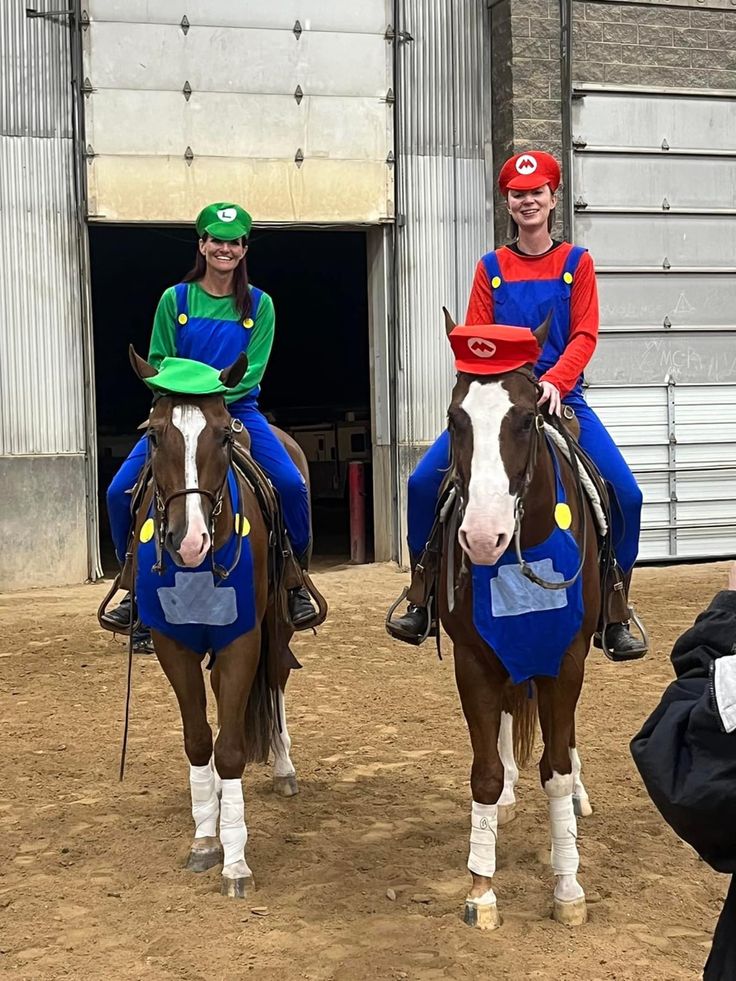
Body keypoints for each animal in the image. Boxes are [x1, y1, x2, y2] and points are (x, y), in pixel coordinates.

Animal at [436, 312, 604, 928]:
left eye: (528, 417)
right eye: (455, 418)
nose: (484, 538)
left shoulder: (566, 659)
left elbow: (554, 770)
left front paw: (568, 885)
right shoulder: (473, 660)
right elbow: (484, 771)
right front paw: (481, 890)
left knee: (564, 739)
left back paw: (578, 798)